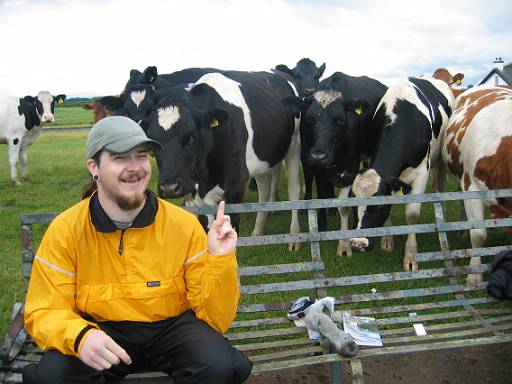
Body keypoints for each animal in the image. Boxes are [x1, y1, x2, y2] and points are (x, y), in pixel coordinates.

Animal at [144, 70, 302, 250]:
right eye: (154, 142)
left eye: (192, 137)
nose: (169, 188)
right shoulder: (196, 194)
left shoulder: (236, 185)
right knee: (264, 188)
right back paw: (258, 230)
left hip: (294, 145)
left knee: (294, 188)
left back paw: (294, 238)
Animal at [282, 71, 386, 244]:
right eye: (310, 119)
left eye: (340, 120)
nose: (319, 155)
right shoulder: (314, 164)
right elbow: (321, 194)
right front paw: (322, 226)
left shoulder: (352, 163)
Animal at [340, 74, 456, 270]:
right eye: (354, 202)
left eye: (377, 205)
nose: (357, 244)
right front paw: (387, 240)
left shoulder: (422, 172)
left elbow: (412, 214)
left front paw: (410, 257)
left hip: (440, 160)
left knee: (439, 187)